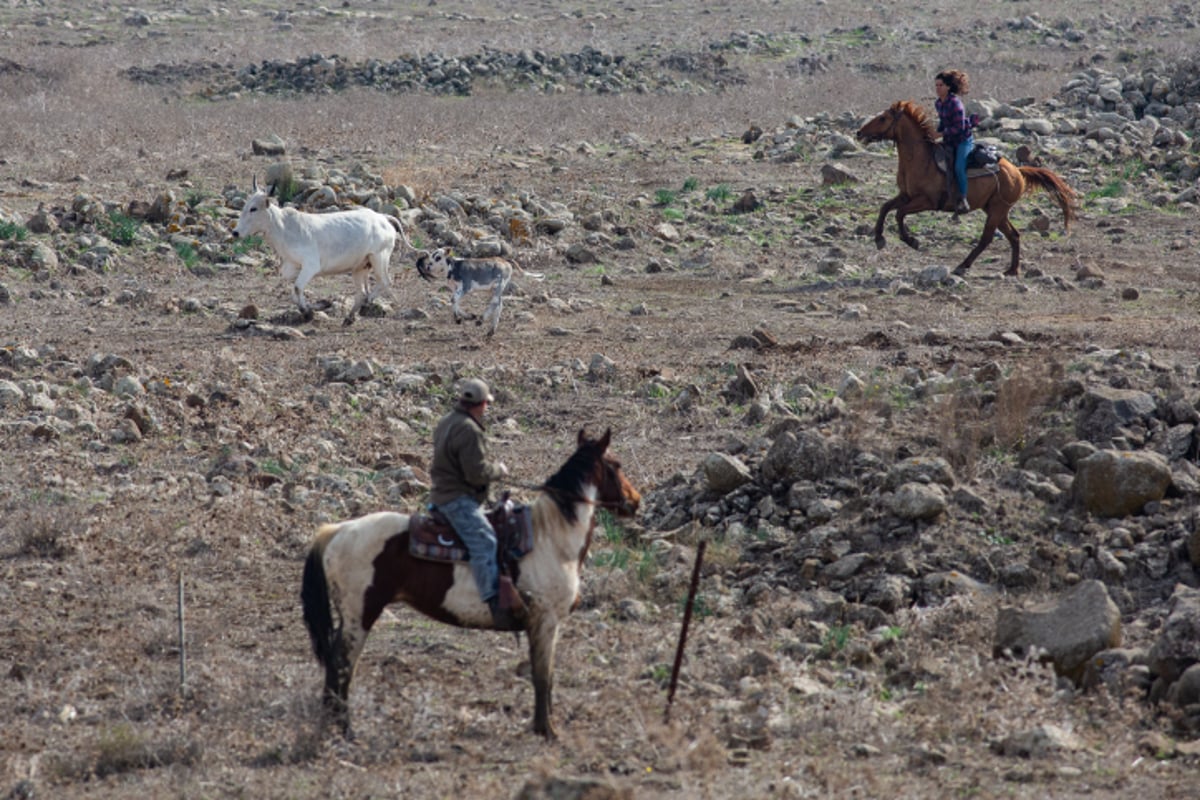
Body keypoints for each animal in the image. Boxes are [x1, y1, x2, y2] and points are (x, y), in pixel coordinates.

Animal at [231, 178, 415, 326]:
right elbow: (294, 292)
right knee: (362, 292)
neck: (283, 227)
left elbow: (297, 288)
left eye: (253, 209)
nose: (235, 233)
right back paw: (349, 317)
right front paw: (310, 309)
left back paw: (367, 304)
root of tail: (382, 218)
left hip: (379, 257)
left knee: (385, 282)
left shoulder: (311, 266)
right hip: (360, 267)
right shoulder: (292, 267)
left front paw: (307, 312)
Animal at [296, 429, 643, 743]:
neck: (551, 538)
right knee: (342, 665)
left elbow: (546, 675)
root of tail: (337, 530)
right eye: (617, 464)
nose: (635, 501)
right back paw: (346, 731)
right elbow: (543, 676)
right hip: (360, 615)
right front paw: (547, 731)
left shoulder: (544, 624)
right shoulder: (545, 621)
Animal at [412, 250, 544, 338]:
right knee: (499, 305)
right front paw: (468, 316)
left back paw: (481, 320)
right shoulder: (455, 288)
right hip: (494, 289)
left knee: (495, 303)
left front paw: (458, 319)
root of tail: (504, 260)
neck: (454, 268)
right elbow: (455, 300)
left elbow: (453, 299)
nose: (428, 266)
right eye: (431, 256)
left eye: (438, 257)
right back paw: (491, 331)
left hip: (498, 285)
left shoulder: (466, 286)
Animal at [854, 100, 1080, 278]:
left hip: (996, 210)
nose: (859, 133)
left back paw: (963, 265)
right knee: (1014, 235)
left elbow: (899, 214)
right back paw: (1012, 270)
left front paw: (911, 241)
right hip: (996, 210)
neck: (921, 160)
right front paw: (879, 239)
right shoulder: (905, 195)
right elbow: (885, 207)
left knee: (987, 238)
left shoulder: (926, 201)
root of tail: (1017, 170)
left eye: (883, 118)